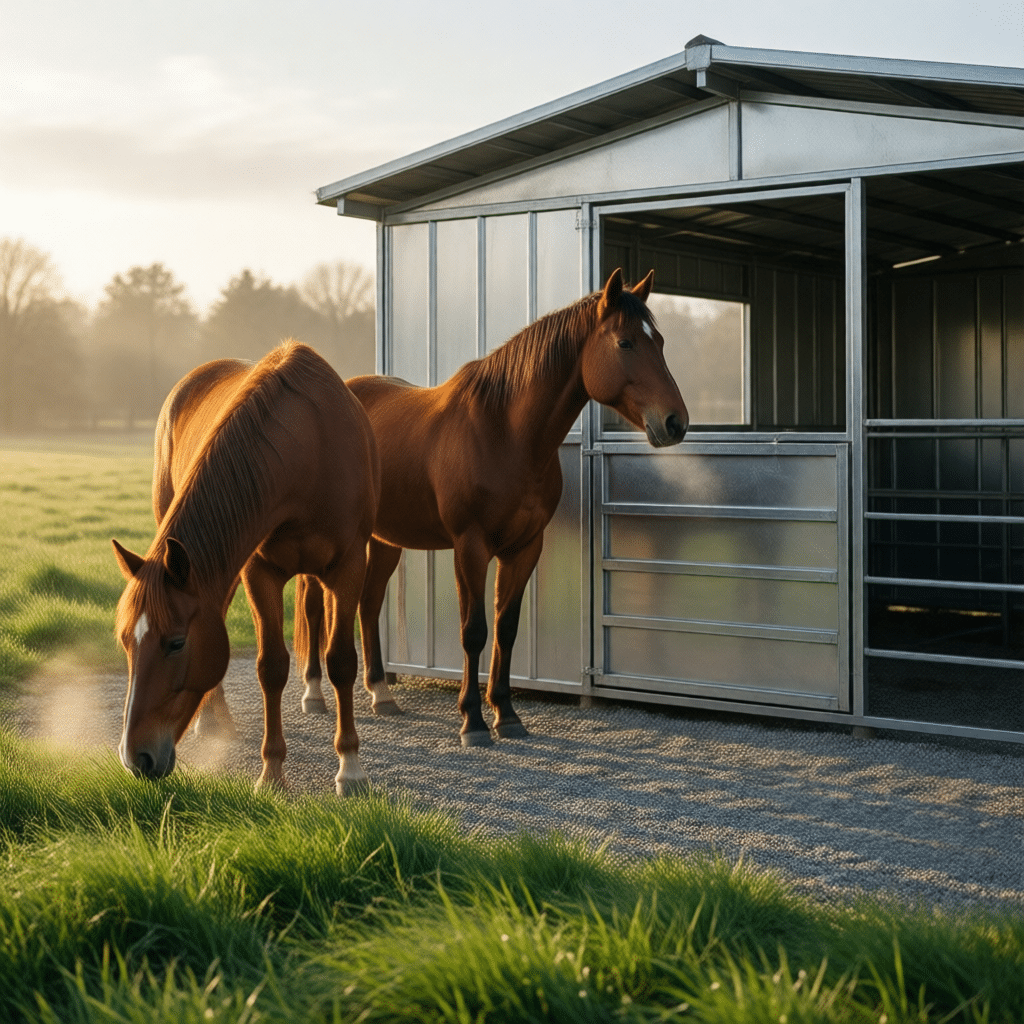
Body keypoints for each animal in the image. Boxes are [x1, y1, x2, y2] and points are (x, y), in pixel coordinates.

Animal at [111, 341, 380, 795]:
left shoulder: (349, 568)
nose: (136, 759)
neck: (309, 450)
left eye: (176, 643)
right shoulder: (259, 572)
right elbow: (270, 667)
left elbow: (342, 660)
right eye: (127, 642)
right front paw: (271, 772)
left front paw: (351, 768)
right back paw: (211, 718)